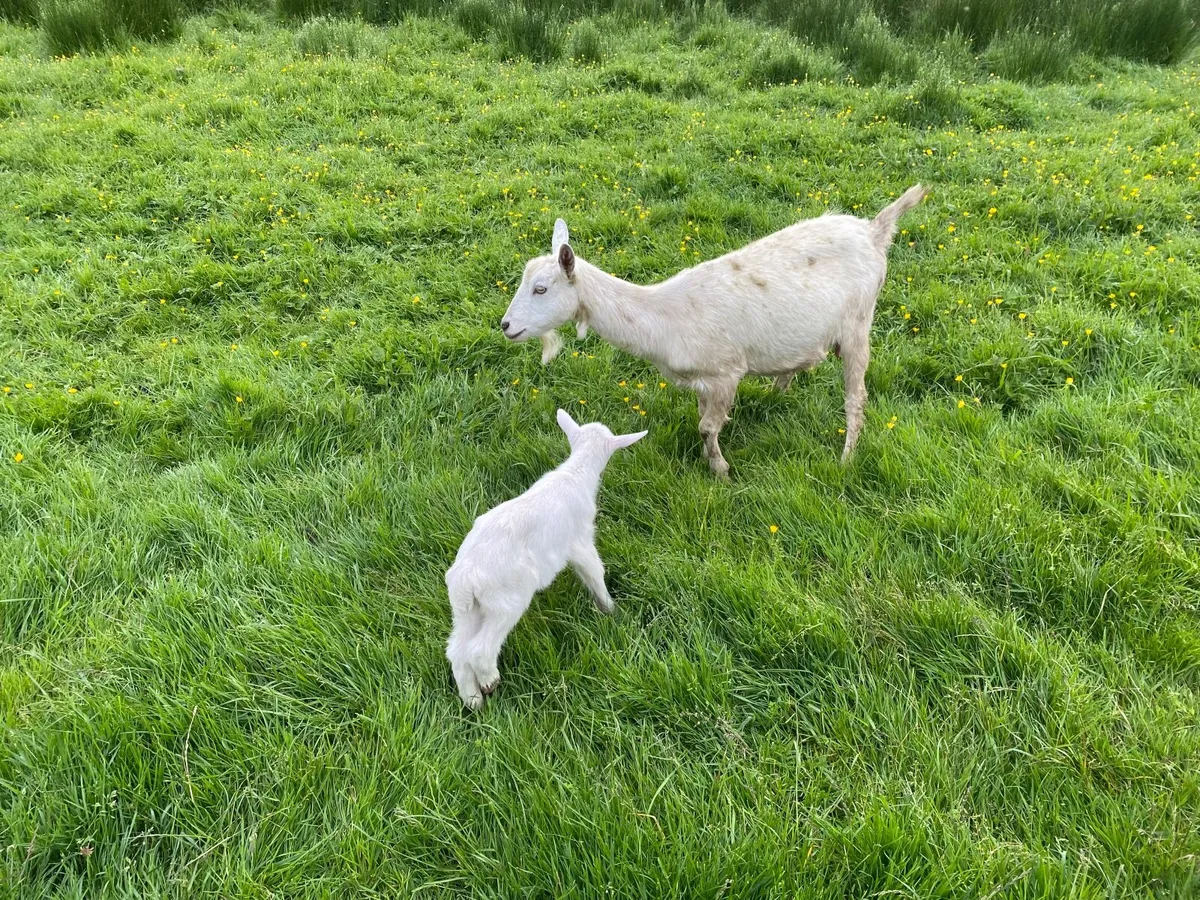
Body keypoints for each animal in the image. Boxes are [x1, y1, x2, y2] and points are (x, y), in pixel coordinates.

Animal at [445, 409, 646, 709]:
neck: (575, 472)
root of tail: (465, 579)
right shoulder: (580, 539)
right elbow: (594, 570)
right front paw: (611, 609)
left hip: (468, 610)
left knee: (456, 650)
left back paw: (473, 700)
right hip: (506, 600)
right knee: (479, 649)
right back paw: (489, 681)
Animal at [500, 185, 929, 476]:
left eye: (541, 288)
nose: (506, 326)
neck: (665, 316)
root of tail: (874, 230)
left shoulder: (726, 373)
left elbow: (707, 426)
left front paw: (720, 470)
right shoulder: (702, 381)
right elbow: (703, 421)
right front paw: (711, 461)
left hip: (859, 323)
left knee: (856, 398)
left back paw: (846, 457)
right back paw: (778, 392)